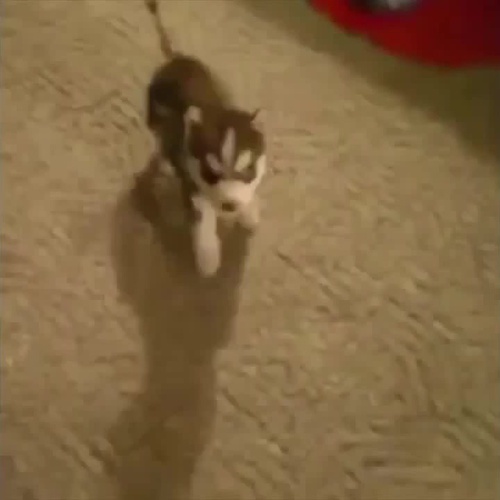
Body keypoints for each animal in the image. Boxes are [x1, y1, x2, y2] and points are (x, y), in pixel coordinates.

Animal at [144, 0, 267, 277]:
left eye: (248, 170)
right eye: (212, 174)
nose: (230, 206)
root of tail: (176, 59)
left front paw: (249, 212)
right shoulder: (192, 184)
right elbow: (204, 218)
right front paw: (208, 256)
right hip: (154, 114)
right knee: (158, 141)